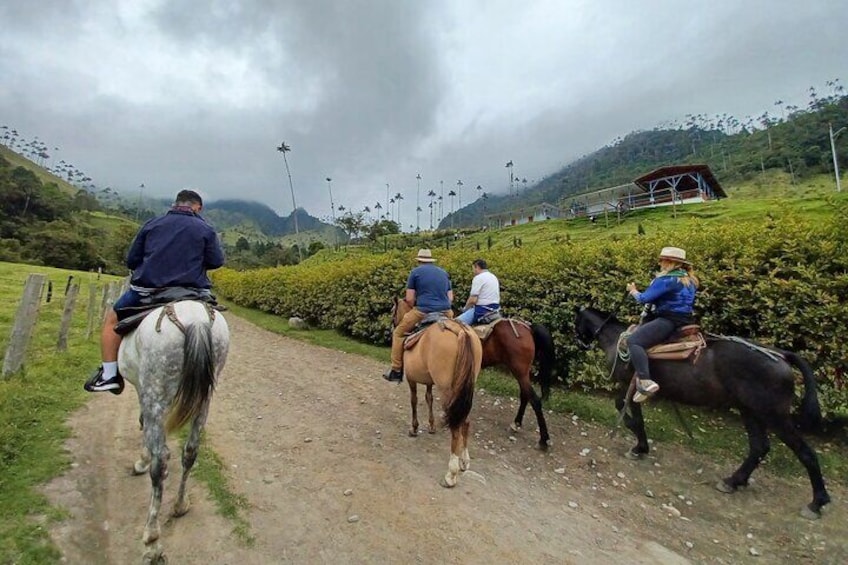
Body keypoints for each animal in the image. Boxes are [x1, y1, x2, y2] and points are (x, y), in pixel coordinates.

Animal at [392, 298, 484, 486]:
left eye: (392, 311)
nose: (393, 325)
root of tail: (460, 332)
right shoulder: (429, 382)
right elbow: (429, 399)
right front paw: (432, 425)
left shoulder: (411, 379)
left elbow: (414, 400)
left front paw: (414, 428)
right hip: (466, 390)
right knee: (466, 421)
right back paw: (464, 461)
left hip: (448, 389)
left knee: (456, 426)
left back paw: (451, 474)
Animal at [572, 306, 832, 516]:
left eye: (576, 323)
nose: (579, 342)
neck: (617, 338)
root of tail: (781, 356)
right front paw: (641, 446)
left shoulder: (630, 386)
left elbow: (627, 410)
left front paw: (638, 446)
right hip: (750, 410)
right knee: (759, 447)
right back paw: (733, 481)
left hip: (774, 415)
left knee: (805, 452)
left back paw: (817, 502)